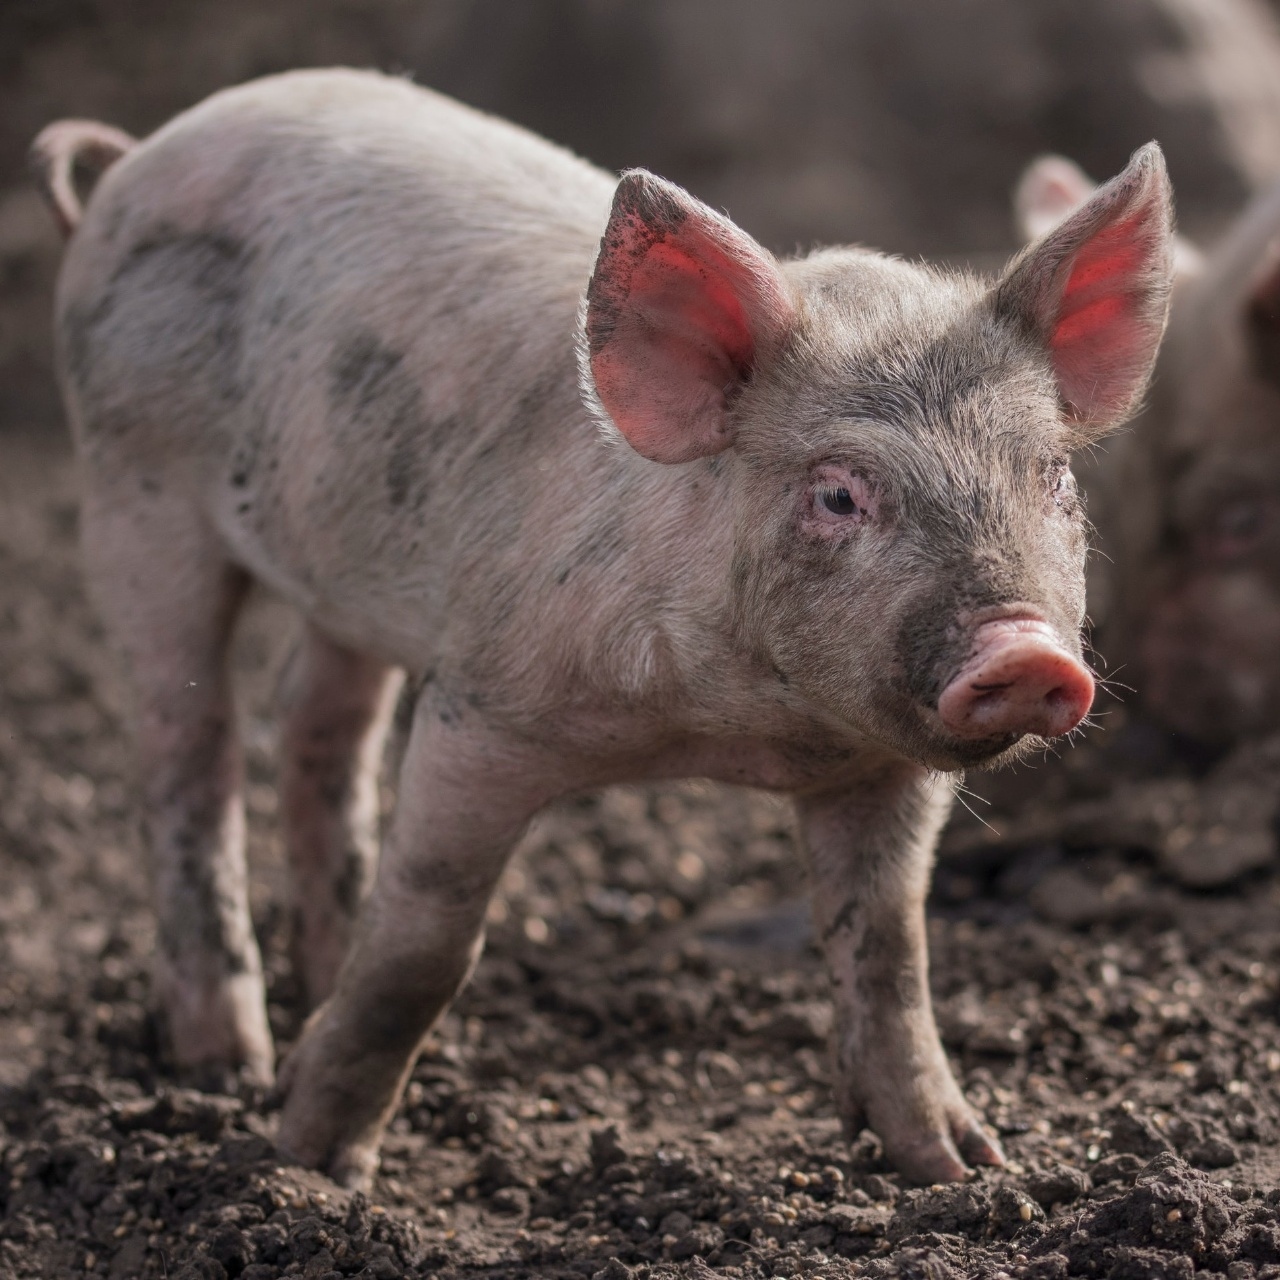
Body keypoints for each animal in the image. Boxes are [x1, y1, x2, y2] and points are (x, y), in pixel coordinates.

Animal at [33, 68, 1172, 1188]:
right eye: (839, 493)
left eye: (1054, 476)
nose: (1025, 650)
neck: (731, 733)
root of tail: (136, 157)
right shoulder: (483, 702)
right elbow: (426, 945)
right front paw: (312, 1165)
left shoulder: (883, 768)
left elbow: (890, 950)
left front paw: (961, 1170)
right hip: (131, 485)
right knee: (189, 750)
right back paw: (224, 1061)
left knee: (320, 723)